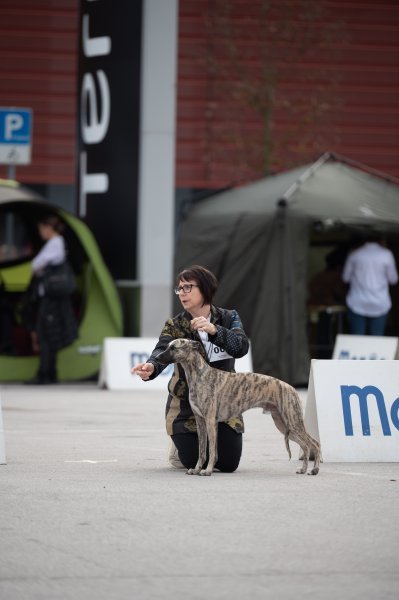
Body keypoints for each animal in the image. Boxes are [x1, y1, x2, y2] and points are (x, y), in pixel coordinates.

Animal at [157, 340, 322, 476]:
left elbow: (211, 451)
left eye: (173, 347)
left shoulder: (210, 421)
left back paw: (314, 469)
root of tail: (292, 388)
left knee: (314, 443)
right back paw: (303, 469)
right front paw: (197, 469)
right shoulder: (201, 421)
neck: (200, 375)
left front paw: (208, 470)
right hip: (283, 424)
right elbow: (202, 450)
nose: (157, 357)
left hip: (293, 422)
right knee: (306, 446)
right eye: (167, 346)